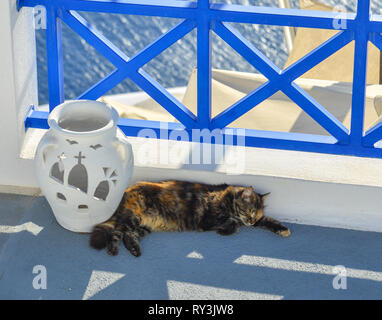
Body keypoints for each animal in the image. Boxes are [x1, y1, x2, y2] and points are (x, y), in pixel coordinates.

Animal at [89, 181, 290, 256]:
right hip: (132, 217)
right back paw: (113, 249)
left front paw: (283, 229)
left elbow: (268, 221)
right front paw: (225, 231)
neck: (228, 199)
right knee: (117, 232)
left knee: (129, 235)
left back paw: (134, 250)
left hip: (143, 226)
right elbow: (233, 223)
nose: (251, 221)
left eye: (256, 214)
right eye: (250, 211)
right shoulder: (208, 220)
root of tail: (126, 191)